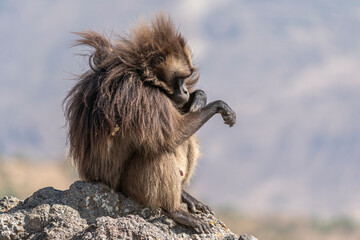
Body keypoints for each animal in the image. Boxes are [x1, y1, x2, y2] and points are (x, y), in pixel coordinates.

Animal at [64, 13, 236, 234]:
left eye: (186, 79)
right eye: (180, 78)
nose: (185, 91)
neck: (143, 74)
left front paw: (199, 97)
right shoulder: (140, 94)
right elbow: (174, 134)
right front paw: (219, 105)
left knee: (184, 138)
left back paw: (183, 194)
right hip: (128, 187)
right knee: (159, 149)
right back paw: (175, 211)